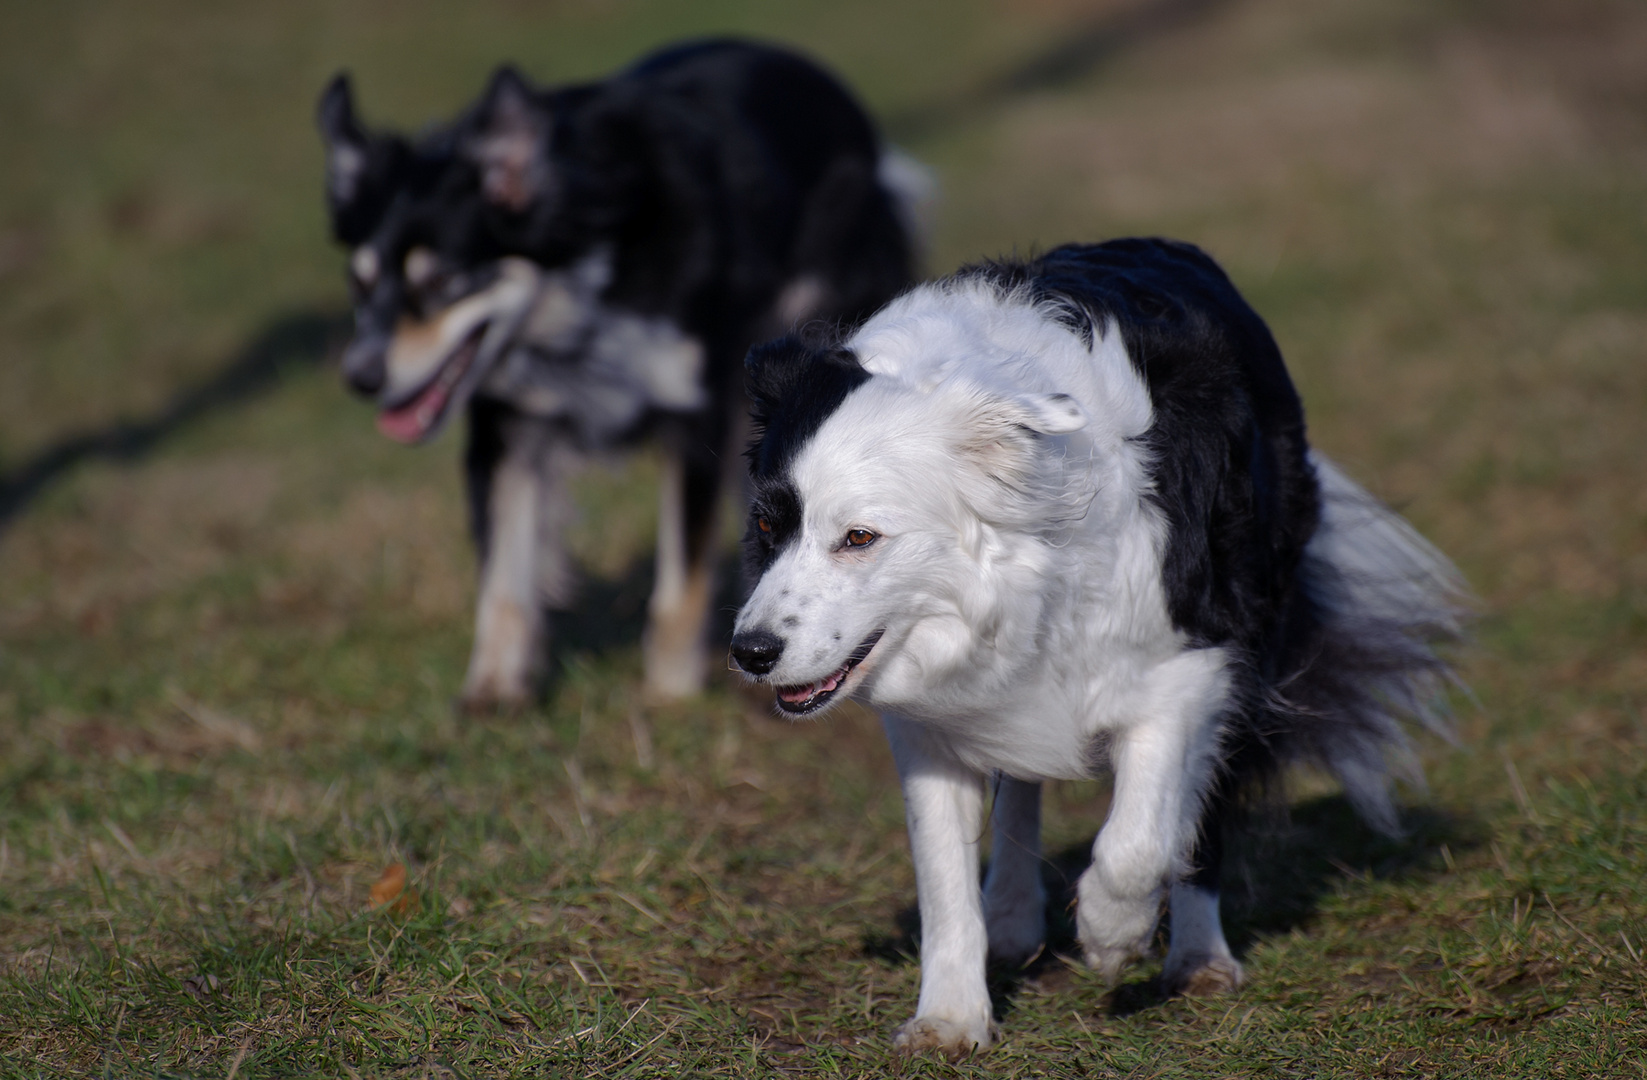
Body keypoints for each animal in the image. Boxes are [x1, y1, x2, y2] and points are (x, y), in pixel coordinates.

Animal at [314, 42, 922, 704]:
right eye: (359, 282)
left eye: (444, 281)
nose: (360, 376)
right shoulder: (505, 426)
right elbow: (504, 573)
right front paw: (495, 692)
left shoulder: (696, 415)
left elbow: (681, 579)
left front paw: (668, 695)